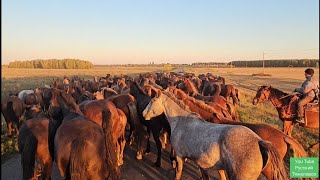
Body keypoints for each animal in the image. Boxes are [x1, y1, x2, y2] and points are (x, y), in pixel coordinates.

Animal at [142, 91, 288, 180]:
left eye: (152, 101)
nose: (143, 114)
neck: (182, 121)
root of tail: (259, 141)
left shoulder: (179, 156)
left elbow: (178, 173)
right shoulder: (201, 163)